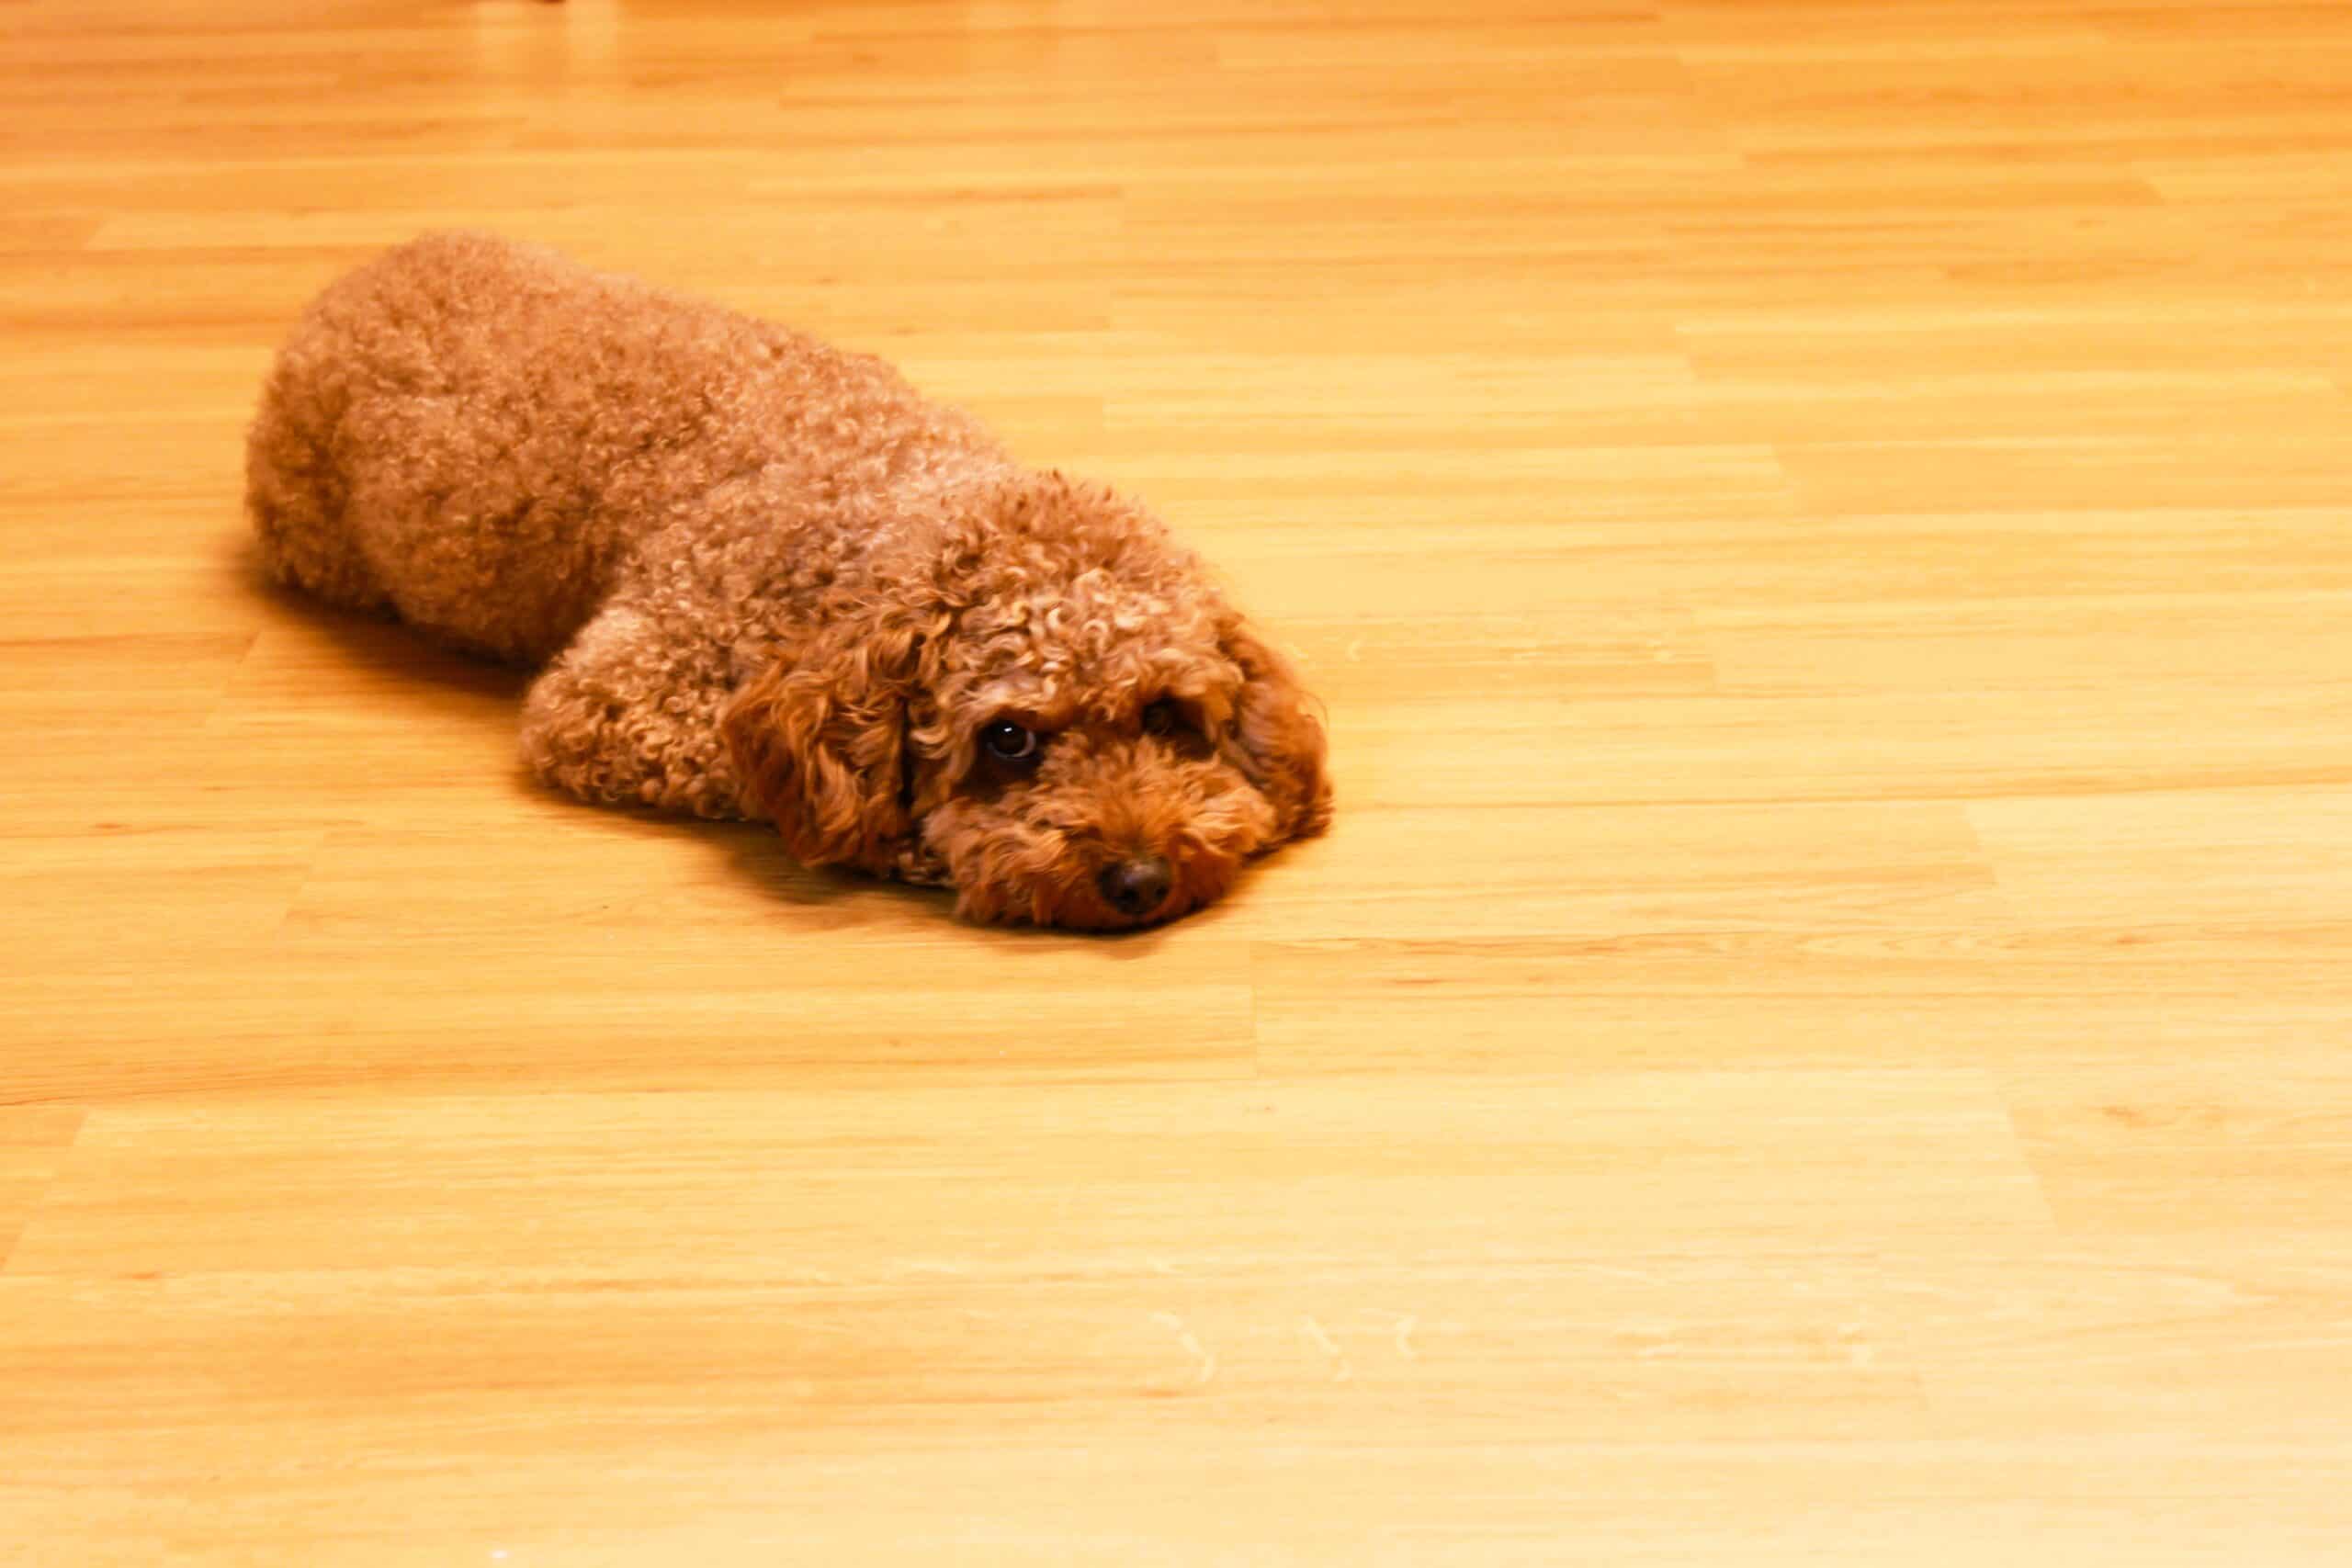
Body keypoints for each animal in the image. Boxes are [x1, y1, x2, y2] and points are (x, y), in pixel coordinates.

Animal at [246, 233, 1330, 928]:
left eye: (1167, 715)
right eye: (1009, 739)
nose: (1142, 880)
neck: (875, 502)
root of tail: (350, 280)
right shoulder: (610, 698)